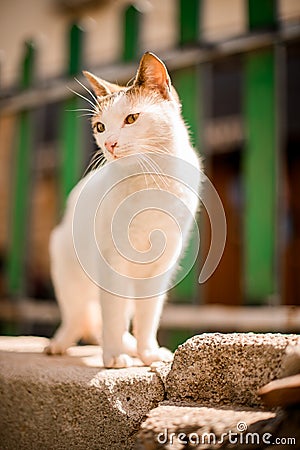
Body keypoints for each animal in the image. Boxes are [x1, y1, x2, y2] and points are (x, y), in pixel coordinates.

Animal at [46, 51, 202, 370]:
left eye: (131, 119)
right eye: (100, 127)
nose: (109, 144)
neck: (150, 179)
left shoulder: (162, 265)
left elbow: (148, 317)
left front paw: (148, 353)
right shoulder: (111, 263)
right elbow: (114, 316)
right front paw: (114, 356)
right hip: (68, 270)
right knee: (78, 315)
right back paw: (61, 344)